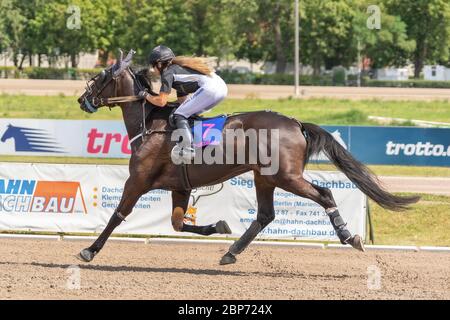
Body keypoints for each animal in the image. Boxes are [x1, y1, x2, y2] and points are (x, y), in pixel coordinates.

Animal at [76, 50, 418, 264]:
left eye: (101, 75)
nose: (82, 99)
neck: (150, 125)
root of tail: (296, 123)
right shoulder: (180, 187)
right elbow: (177, 223)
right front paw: (218, 226)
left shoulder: (137, 180)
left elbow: (117, 215)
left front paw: (89, 250)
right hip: (264, 177)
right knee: (265, 215)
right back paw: (231, 252)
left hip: (286, 176)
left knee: (324, 194)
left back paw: (349, 236)